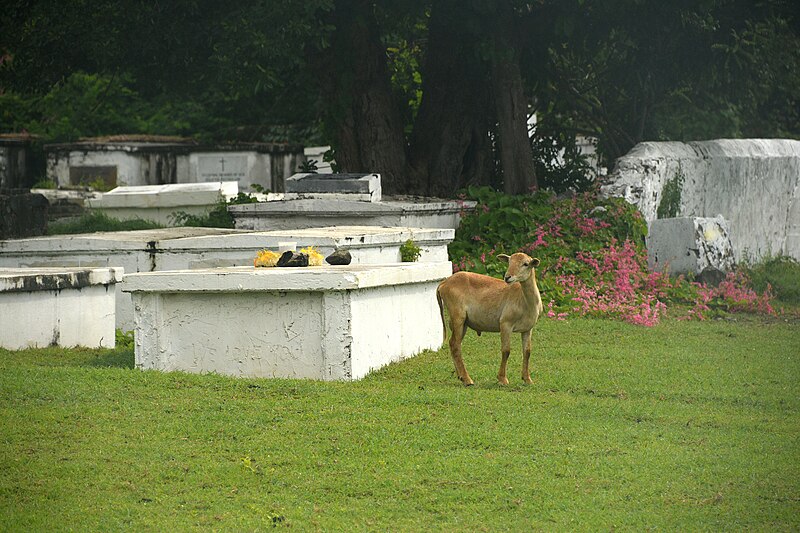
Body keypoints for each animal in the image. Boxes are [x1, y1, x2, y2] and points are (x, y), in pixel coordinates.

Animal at [438, 251, 544, 384]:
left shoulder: (528, 329)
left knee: (453, 343)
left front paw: (527, 379)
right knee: (456, 345)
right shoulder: (505, 323)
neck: (525, 301)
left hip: (463, 322)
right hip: (457, 315)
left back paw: (461, 376)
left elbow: (527, 352)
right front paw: (503, 379)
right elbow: (506, 351)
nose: (507, 277)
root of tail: (443, 284)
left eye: (525, 264)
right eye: (509, 262)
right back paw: (468, 380)